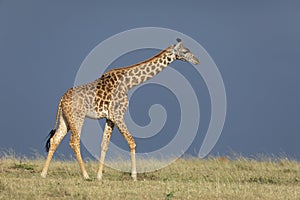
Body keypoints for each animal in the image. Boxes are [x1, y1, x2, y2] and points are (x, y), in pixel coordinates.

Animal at [39, 38, 199, 180]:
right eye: (185, 51)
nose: (197, 60)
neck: (128, 83)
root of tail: (61, 100)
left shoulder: (110, 118)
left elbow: (104, 145)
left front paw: (99, 176)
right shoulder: (118, 115)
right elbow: (131, 142)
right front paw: (134, 176)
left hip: (65, 119)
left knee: (55, 140)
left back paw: (43, 174)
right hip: (77, 117)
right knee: (74, 141)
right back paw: (85, 175)